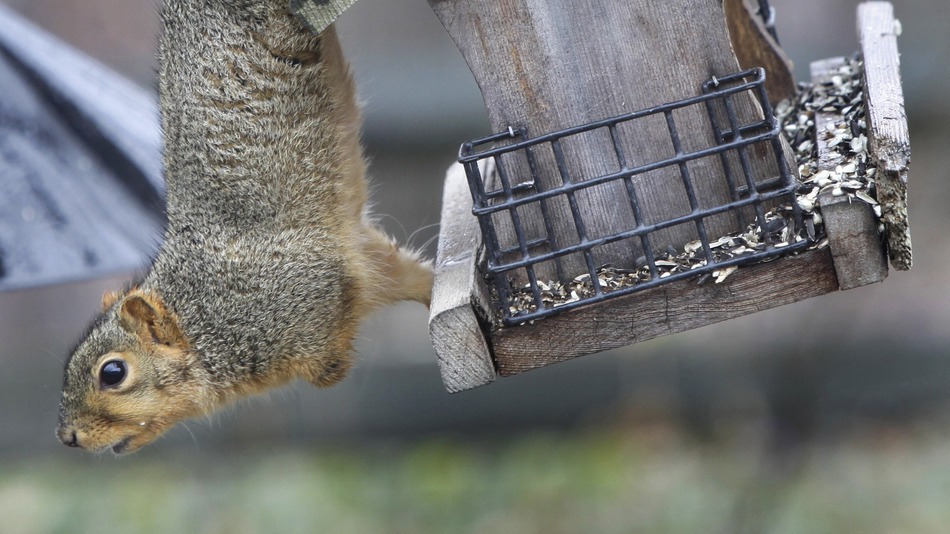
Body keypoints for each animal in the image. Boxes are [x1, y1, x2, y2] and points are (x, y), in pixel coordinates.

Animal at [55, 0, 436, 454]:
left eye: (112, 373)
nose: (67, 436)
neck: (203, 316)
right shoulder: (372, 260)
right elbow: (415, 277)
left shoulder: (304, 290)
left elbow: (326, 363)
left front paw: (334, 365)